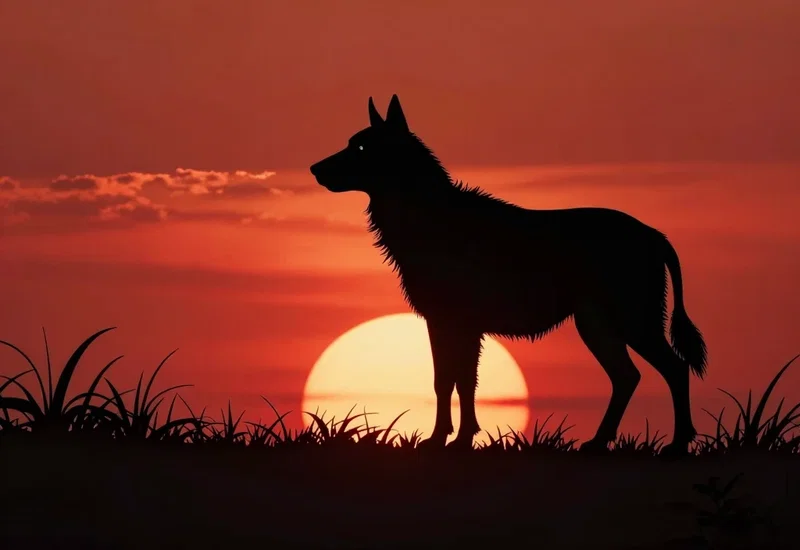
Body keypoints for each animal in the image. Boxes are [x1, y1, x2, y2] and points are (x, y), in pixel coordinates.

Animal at [309, 95, 707, 455]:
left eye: (361, 146)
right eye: (351, 142)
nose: (314, 169)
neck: (426, 219)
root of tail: (656, 236)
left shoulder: (458, 323)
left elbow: (457, 381)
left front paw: (451, 440)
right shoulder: (445, 322)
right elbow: (451, 382)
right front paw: (451, 439)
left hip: (629, 320)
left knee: (673, 369)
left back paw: (677, 444)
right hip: (597, 324)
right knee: (629, 377)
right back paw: (598, 442)